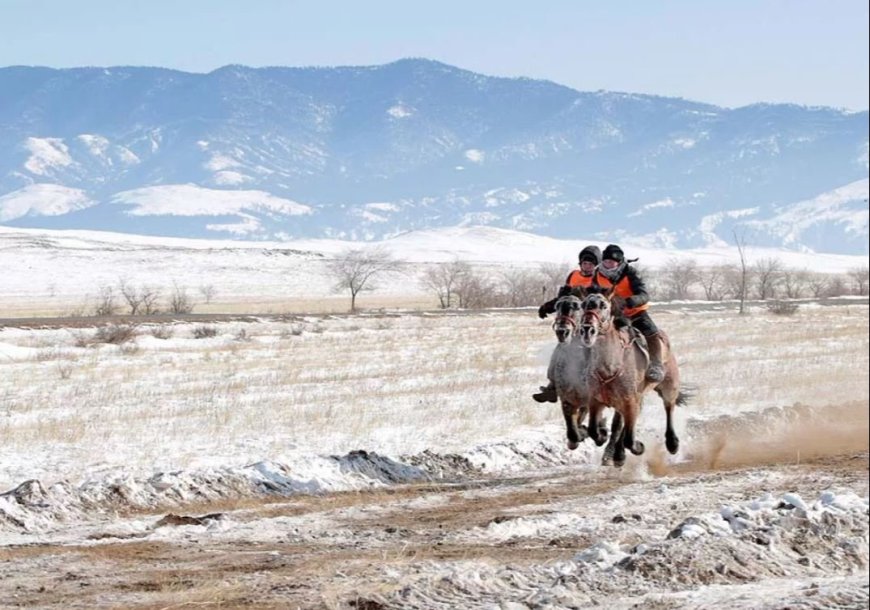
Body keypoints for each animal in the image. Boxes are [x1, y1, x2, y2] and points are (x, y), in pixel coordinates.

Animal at [576, 288, 692, 468]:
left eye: (603, 305)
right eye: (583, 305)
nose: (588, 329)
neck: (609, 367)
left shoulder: (630, 399)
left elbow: (629, 439)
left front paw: (638, 447)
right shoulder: (596, 400)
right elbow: (594, 430)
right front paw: (602, 435)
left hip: (668, 386)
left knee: (669, 407)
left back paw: (671, 443)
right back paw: (617, 454)